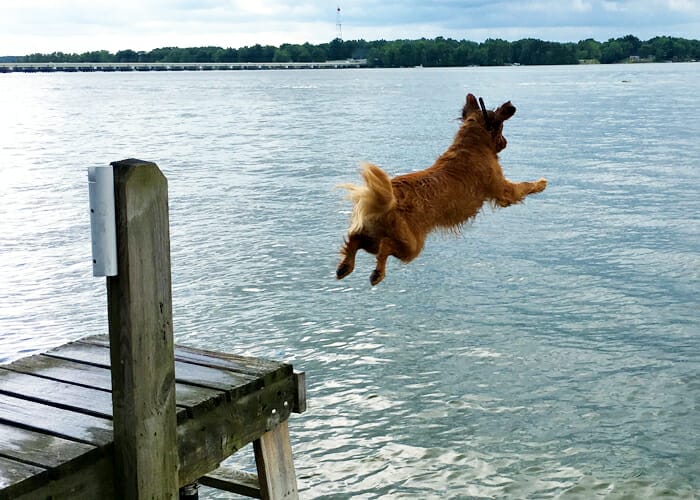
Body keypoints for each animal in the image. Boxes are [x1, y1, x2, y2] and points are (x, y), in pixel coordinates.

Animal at [338, 93, 548, 286]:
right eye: (502, 129)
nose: (505, 142)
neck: (472, 146)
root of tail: (387, 199)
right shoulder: (503, 190)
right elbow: (524, 186)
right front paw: (540, 183)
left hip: (372, 236)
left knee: (355, 239)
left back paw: (345, 266)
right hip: (410, 245)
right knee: (385, 247)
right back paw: (376, 273)